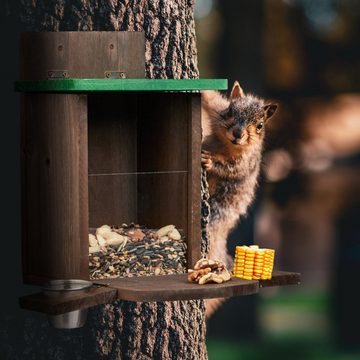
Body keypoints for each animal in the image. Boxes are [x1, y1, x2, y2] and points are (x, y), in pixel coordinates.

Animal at [201, 81, 278, 316]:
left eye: (260, 125)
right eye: (229, 112)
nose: (238, 133)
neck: (227, 145)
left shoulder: (246, 162)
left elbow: (230, 169)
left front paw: (211, 162)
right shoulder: (216, 110)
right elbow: (209, 98)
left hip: (219, 209)